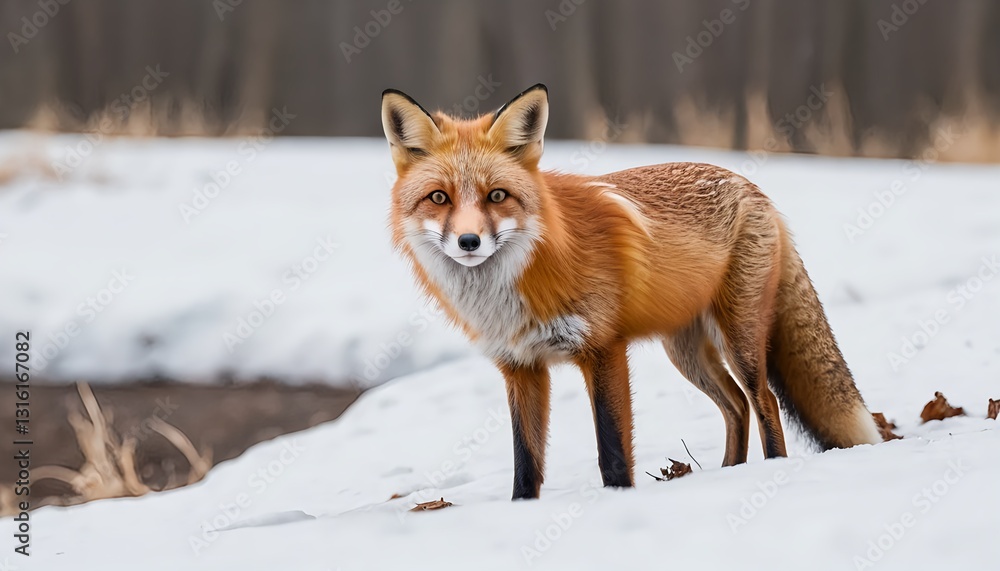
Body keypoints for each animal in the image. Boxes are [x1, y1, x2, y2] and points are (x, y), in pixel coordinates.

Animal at [380, 83, 883, 500]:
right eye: (439, 198)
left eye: (497, 196)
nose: (469, 242)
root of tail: (754, 187)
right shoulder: (521, 367)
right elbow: (526, 462)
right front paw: (522, 509)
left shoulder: (603, 349)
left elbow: (613, 448)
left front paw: (617, 500)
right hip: (685, 353)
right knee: (736, 406)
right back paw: (729, 473)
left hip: (740, 340)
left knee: (765, 403)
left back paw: (768, 470)